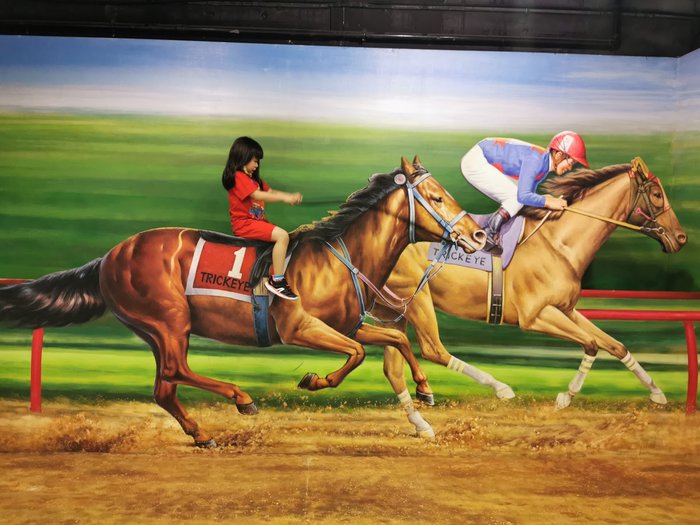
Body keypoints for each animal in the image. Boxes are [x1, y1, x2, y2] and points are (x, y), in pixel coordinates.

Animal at [0, 156, 486, 447]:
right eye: (437, 196)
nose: (479, 235)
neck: (339, 255)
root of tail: (110, 256)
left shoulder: (345, 324)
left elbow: (394, 341)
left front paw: (424, 392)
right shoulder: (302, 329)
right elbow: (357, 355)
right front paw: (314, 380)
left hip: (154, 330)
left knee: (164, 387)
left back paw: (201, 433)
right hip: (169, 322)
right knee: (175, 371)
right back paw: (241, 398)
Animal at [372, 158, 687, 435]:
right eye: (657, 194)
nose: (681, 238)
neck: (559, 243)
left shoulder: (566, 309)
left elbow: (615, 345)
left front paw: (657, 392)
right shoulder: (535, 315)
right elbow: (592, 343)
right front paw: (565, 397)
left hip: (393, 309)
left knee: (393, 366)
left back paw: (421, 423)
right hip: (416, 298)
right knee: (432, 349)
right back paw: (500, 388)